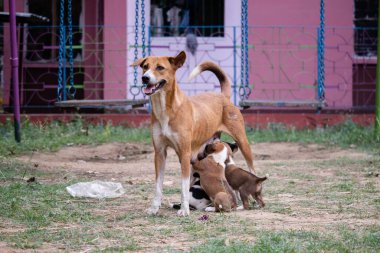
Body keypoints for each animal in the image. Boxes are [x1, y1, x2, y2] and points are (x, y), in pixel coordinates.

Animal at [131, 52, 255, 217]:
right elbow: (158, 185)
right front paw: (154, 208)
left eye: (160, 68)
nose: (145, 78)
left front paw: (184, 209)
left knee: (252, 169)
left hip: (243, 142)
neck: (165, 110)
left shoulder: (184, 153)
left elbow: (183, 187)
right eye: (145, 67)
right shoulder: (160, 153)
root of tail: (223, 96)